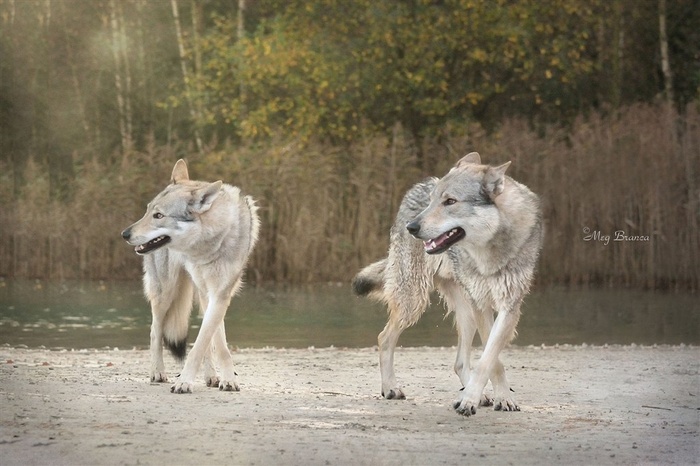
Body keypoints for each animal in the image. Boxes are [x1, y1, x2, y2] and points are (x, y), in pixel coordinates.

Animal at [120, 160, 260, 394]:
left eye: (159, 215)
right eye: (147, 211)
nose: (125, 234)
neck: (208, 245)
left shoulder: (219, 294)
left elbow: (210, 342)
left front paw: (227, 379)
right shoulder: (207, 292)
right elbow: (208, 341)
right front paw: (184, 381)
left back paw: (211, 377)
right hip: (165, 293)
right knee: (155, 331)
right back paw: (157, 372)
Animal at [352, 152, 544, 416]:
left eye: (450, 201)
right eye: (433, 201)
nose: (411, 227)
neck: (489, 252)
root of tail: (419, 184)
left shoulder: (509, 307)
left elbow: (488, 358)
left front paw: (487, 398)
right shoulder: (482, 305)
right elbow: (494, 362)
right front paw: (481, 399)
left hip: (466, 313)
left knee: (459, 362)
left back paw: (478, 395)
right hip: (416, 301)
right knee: (384, 338)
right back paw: (391, 388)